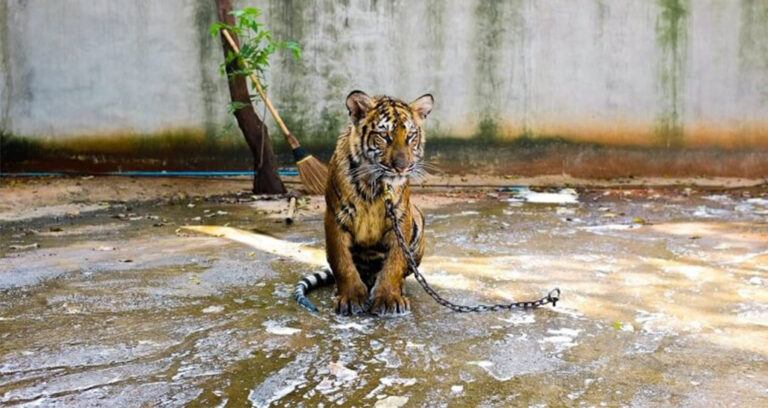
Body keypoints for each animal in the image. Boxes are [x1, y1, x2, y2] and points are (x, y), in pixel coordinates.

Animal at [294, 90, 434, 316]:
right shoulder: (336, 216)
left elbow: (395, 262)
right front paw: (351, 297)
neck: (373, 185)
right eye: (384, 136)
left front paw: (389, 298)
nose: (402, 167)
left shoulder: (400, 217)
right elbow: (341, 262)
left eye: (411, 136)